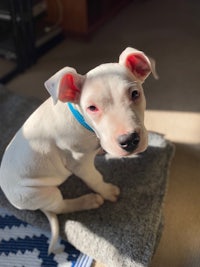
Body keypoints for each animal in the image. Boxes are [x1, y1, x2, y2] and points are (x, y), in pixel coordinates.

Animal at [0, 47, 156, 254]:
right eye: (92, 108)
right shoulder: (80, 164)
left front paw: (101, 150)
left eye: (135, 94)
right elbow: (95, 178)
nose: (129, 141)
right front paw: (108, 191)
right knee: (60, 207)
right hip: (38, 193)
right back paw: (88, 201)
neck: (79, 118)